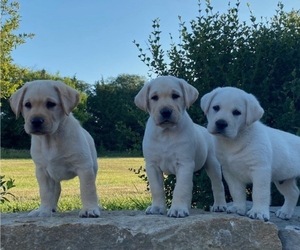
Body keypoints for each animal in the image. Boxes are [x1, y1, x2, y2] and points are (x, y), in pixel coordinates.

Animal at [9, 80, 101, 217]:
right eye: (27, 105)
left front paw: (89, 209)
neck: (51, 139)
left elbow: (87, 189)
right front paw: (44, 210)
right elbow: (45, 192)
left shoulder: (84, 167)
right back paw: (49, 208)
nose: (36, 121)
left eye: (51, 104)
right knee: (56, 190)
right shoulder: (42, 171)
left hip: (93, 167)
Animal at [135, 75, 226, 217]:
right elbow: (157, 188)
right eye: (154, 97)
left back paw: (219, 206)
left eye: (175, 96)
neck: (166, 133)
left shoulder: (184, 163)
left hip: (213, 164)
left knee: (217, 185)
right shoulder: (152, 165)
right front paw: (157, 208)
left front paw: (177, 209)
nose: (165, 111)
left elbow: (180, 188)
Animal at [200, 86, 300, 221]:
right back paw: (285, 212)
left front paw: (258, 212)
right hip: (283, 178)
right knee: (293, 192)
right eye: (216, 107)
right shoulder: (229, 171)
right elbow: (236, 191)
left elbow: (259, 192)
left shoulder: (260, 170)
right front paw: (238, 208)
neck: (234, 141)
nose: (221, 123)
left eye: (236, 112)